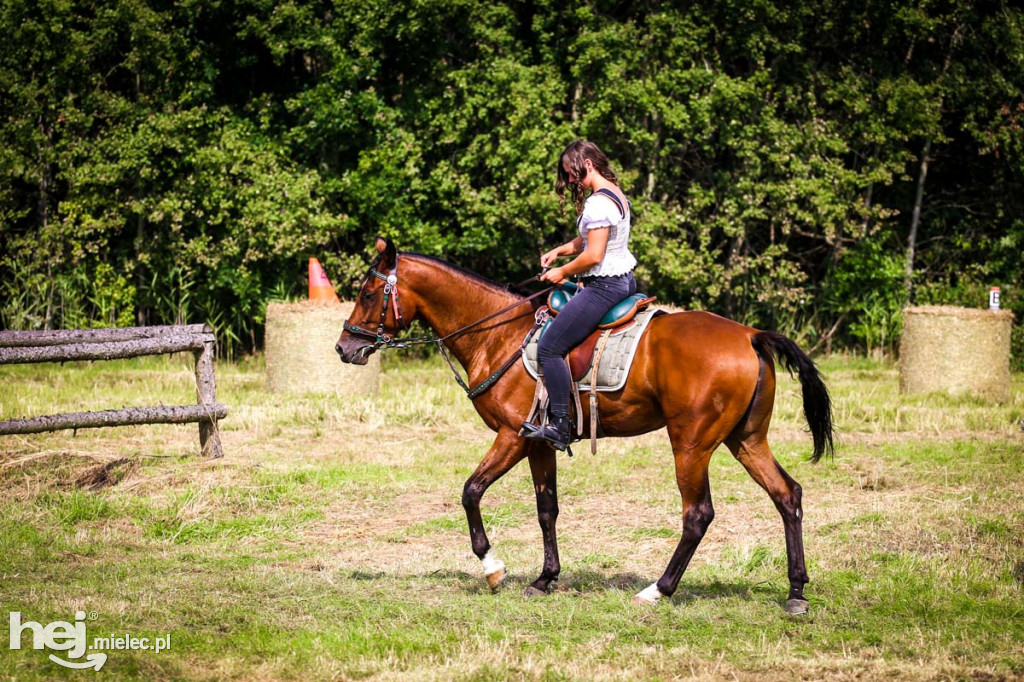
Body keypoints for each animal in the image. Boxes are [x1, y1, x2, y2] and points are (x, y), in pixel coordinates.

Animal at [335, 236, 831, 614]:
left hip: (691, 444)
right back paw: (796, 593)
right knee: (787, 495)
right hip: (745, 440)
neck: (498, 335)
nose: (344, 348)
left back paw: (658, 590)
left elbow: (471, 492)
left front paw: (493, 568)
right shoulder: (538, 443)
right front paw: (544, 578)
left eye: (366, 293)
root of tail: (750, 334)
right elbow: (546, 509)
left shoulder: (512, 437)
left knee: (698, 514)